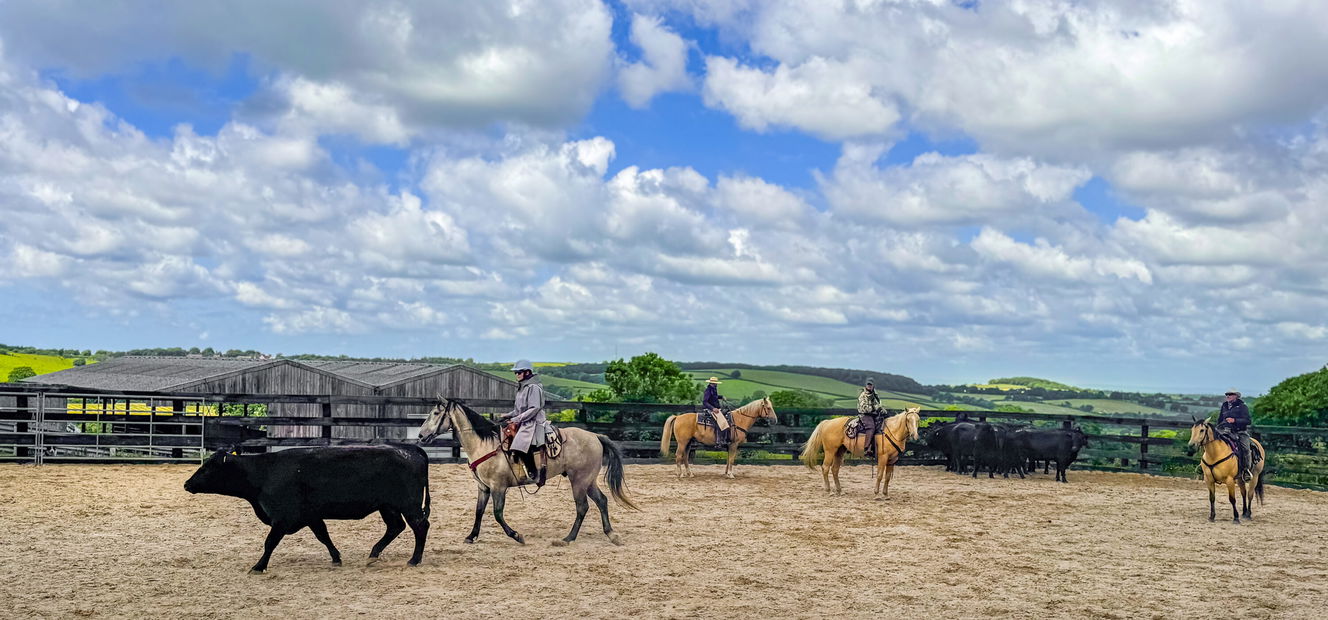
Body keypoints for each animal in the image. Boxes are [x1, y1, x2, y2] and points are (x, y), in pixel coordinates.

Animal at [184, 444, 431, 573]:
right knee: (395, 527)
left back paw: (414, 560)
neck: (264, 473)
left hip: (408, 505)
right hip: (388, 506)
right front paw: (336, 558)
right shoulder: (311, 516)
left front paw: (259, 566)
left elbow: (270, 542)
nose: (187, 484)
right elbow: (323, 536)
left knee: (420, 526)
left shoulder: (282, 518)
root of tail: (409, 449)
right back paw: (373, 555)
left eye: (207, 468)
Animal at [418, 399, 638, 546]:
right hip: (588, 481)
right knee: (602, 501)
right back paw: (611, 534)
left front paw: (517, 536)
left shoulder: (498, 487)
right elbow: (479, 511)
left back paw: (568, 538)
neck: (485, 444)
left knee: (582, 507)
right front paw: (471, 536)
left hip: (579, 481)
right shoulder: (484, 487)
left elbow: (497, 514)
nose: (420, 436)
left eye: (435, 414)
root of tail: (595, 436)